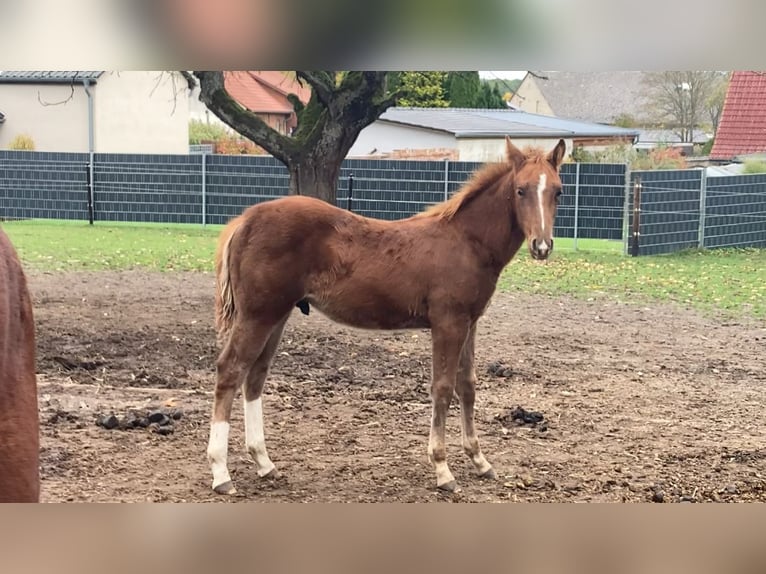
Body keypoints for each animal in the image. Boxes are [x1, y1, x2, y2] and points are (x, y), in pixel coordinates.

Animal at [207, 136, 566, 495]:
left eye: (558, 191)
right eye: (520, 190)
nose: (542, 246)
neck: (467, 242)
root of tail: (244, 220)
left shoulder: (470, 322)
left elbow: (468, 385)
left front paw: (479, 461)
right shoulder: (447, 323)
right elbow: (443, 388)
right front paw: (442, 469)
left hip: (276, 315)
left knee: (255, 375)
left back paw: (264, 463)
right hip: (258, 315)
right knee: (230, 370)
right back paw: (221, 473)